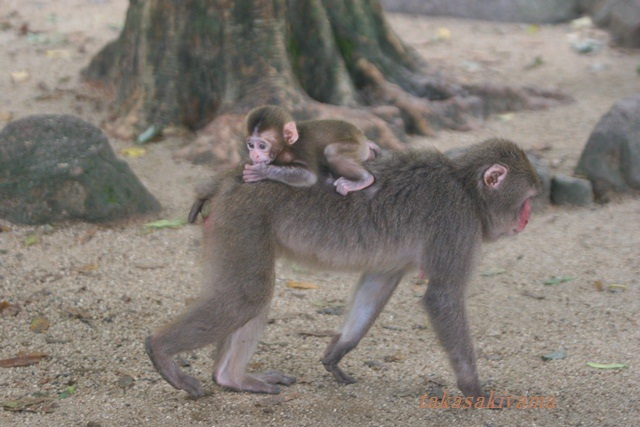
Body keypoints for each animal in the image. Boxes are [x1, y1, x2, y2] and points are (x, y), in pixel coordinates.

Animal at [148, 139, 544, 406]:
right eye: (527, 200)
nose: (527, 220)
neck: (465, 187)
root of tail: (228, 178)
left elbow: (378, 282)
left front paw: (337, 351)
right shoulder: (457, 223)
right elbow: (442, 297)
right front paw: (475, 391)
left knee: (252, 296)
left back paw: (230, 378)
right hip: (243, 217)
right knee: (248, 294)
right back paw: (161, 351)